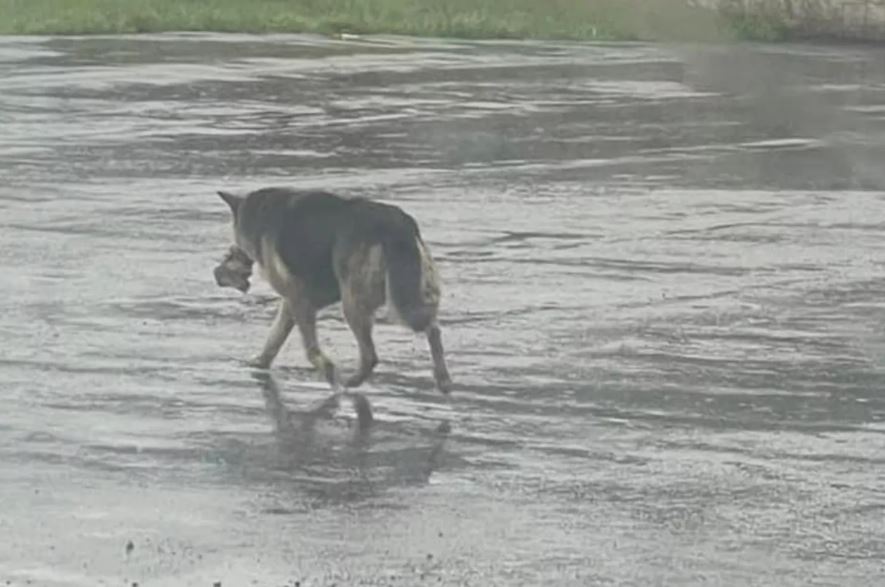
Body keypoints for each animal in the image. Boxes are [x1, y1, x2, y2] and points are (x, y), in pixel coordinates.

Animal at [212, 186, 448, 392]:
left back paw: (350, 383)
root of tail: (396, 226)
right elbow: (274, 338)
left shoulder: (298, 299)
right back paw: (442, 378)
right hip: (410, 293)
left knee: (371, 355)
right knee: (433, 328)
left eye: (231, 253)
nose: (217, 273)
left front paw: (328, 370)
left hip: (356, 304)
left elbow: (309, 347)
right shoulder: (295, 301)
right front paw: (260, 363)